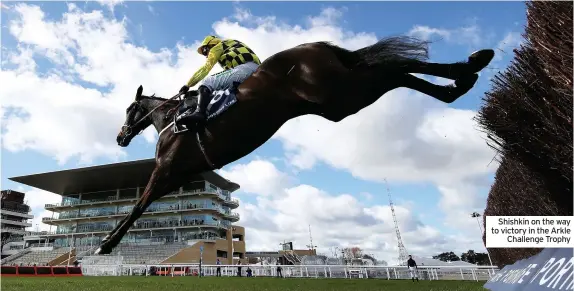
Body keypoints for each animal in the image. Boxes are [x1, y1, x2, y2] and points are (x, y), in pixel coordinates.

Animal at [94, 36, 496, 256]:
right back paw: (463, 75)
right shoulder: (179, 176)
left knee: (391, 70)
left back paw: (465, 70)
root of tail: (314, 46)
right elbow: (144, 205)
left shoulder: (166, 169)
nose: (120, 137)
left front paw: (104, 245)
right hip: (339, 100)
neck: (172, 119)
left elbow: (137, 206)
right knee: (392, 70)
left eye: (130, 109)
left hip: (339, 95)